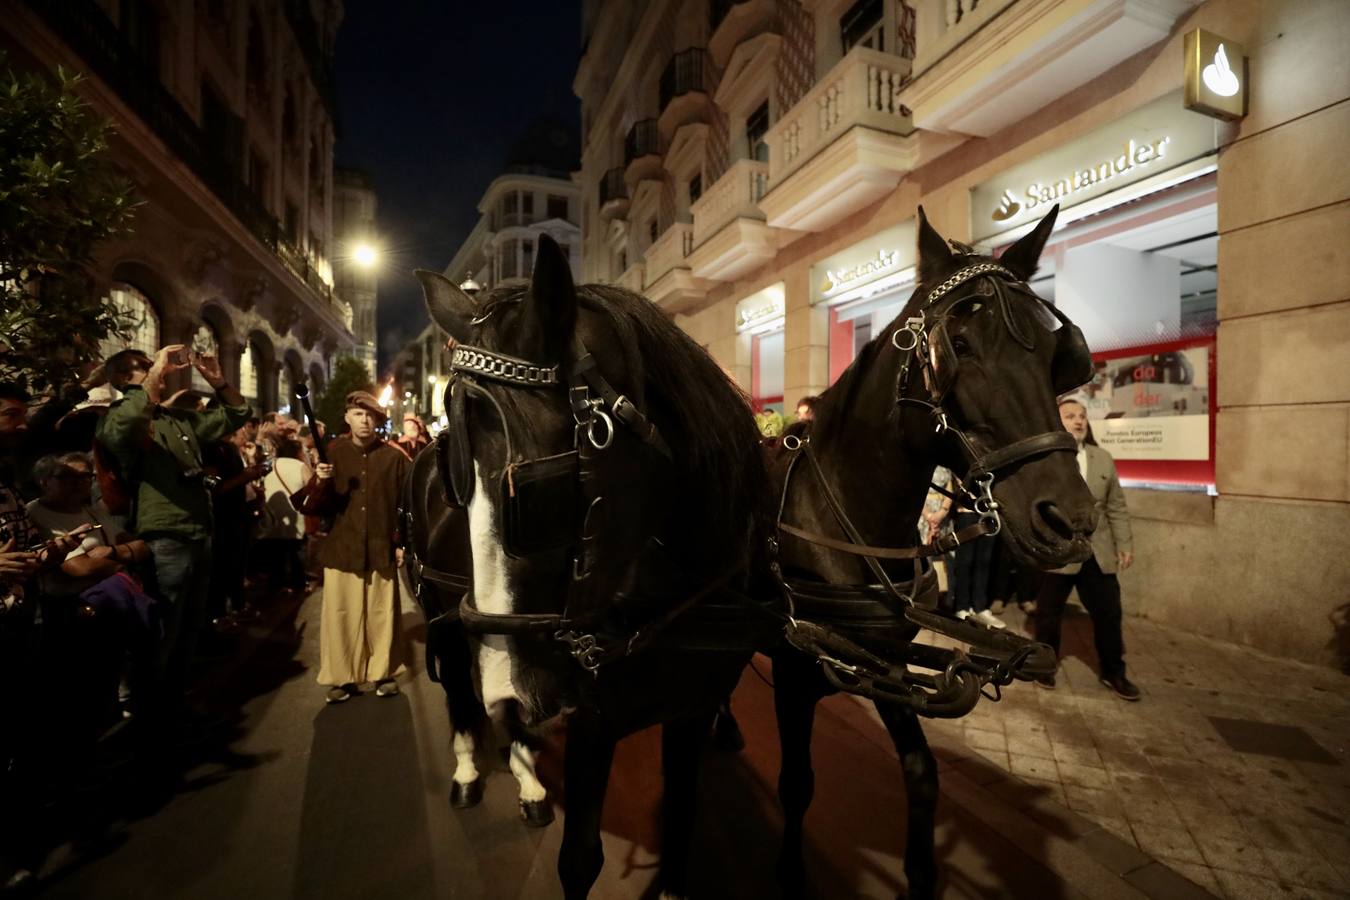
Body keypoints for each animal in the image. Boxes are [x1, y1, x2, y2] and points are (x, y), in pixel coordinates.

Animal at [415, 241, 772, 900]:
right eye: (456, 481)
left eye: (533, 495)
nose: (508, 692)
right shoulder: (592, 723)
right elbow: (579, 860)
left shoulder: (688, 707)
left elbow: (683, 814)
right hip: (442, 618)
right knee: (457, 689)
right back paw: (477, 767)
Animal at [772, 206, 1096, 900]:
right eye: (960, 347)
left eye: (1057, 355)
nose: (1072, 520)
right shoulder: (790, 666)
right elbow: (796, 784)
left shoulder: (888, 664)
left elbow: (922, 773)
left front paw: (922, 874)